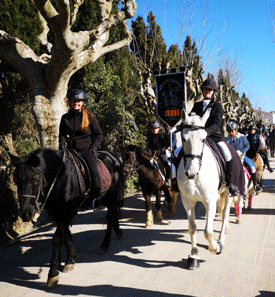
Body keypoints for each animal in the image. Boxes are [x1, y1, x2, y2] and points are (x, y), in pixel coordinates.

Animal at [10, 147, 124, 286]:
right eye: (16, 180)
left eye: (36, 178)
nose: (25, 213)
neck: (59, 177)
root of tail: (114, 157)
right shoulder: (55, 212)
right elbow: (66, 234)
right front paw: (70, 259)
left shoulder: (68, 210)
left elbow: (57, 238)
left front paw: (53, 273)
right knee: (112, 215)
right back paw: (117, 231)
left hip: (111, 196)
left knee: (110, 216)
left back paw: (105, 244)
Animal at [178, 110, 234, 270]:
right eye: (183, 138)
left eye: (203, 140)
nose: (191, 173)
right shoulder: (187, 201)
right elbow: (192, 227)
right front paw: (194, 255)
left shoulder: (210, 201)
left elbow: (208, 232)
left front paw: (215, 247)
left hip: (228, 193)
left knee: (225, 213)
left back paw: (221, 240)